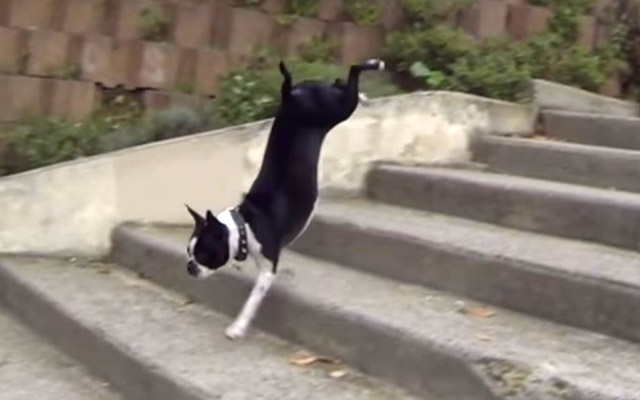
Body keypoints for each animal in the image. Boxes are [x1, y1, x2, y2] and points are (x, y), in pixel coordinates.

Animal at [185, 57, 384, 340]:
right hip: (332, 102)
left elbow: (252, 300)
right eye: (189, 252)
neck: (245, 225)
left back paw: (374, 65)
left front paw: (238, 327)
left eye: (203, 253)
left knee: (353, 73)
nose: (189, 266)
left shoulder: (268, 269)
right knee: (340, 82)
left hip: (338, 110)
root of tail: (290, 94)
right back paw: (365, 94)